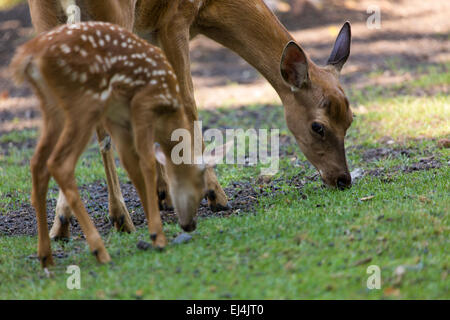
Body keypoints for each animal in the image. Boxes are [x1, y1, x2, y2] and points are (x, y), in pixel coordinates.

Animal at [11, 21, 227, 268]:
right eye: (202, 186)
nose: (190, 225)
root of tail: (30, 55)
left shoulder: (119, 122)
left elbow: (132, 166)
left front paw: (154, 233)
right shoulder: (143, 105)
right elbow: (147, 163)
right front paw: (159, 237)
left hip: (52, 108)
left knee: (37, 163)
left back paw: (46, 257)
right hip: (84, 102)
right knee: (59, 163)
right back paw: (100, 251)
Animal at [26, 0, 354, 240]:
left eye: (350, 120)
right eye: (317, 126)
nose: (343, 179)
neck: (209, 10)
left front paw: (163, 193)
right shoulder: (174, 20)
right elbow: (187, 102)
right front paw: (214, 195)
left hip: (48, 23)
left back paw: (63, 224)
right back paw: (119, 216)